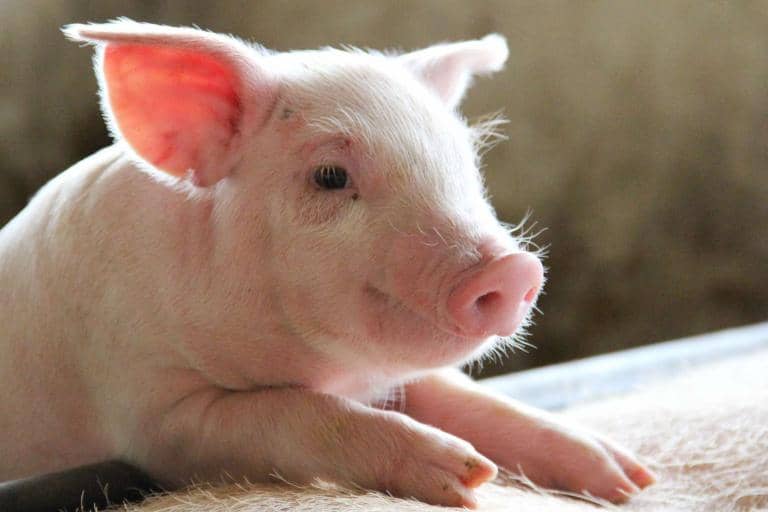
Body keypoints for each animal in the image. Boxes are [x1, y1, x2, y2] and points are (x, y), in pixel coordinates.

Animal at [0, 20, 655, 508]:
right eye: (331, 176)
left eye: (466, 163)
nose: (514, 269)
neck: (323, 366)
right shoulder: (153, 410)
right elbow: (297, 414)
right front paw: (468, 478)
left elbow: (471, 398)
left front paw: (630, 480)